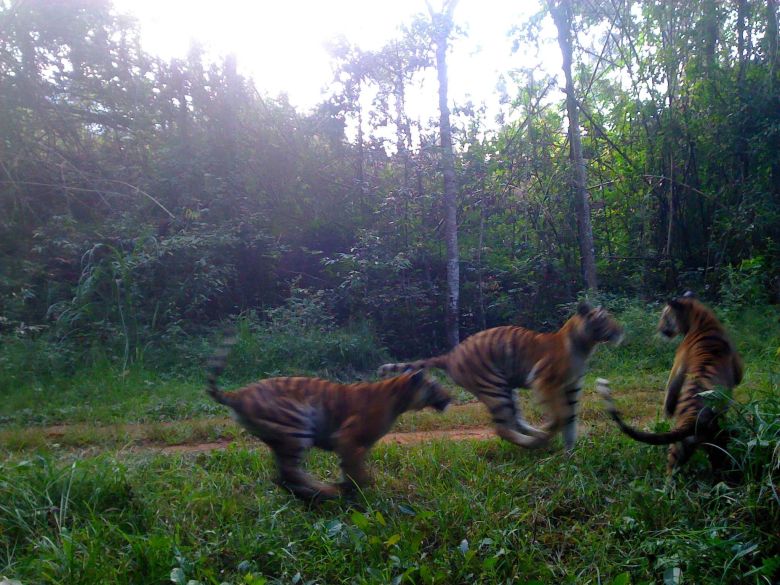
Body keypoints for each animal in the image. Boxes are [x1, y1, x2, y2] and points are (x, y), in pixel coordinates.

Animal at [206, 333, 451, 501]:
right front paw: (357, 491)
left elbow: (351, 469)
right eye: (435, 386)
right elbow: (356, 472)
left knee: (283, 476)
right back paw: (325, 493)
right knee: (289, 474)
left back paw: (314, 495)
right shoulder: (348, 438)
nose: (451, 396)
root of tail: (238, 394)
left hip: (280, 438)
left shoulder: (359, 445)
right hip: (297, 427)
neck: (399, 397)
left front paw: (352, 488)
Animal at [378, 302, 624, 451]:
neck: (585, 346)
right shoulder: (546, 381)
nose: (621, 330)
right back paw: (535, 441)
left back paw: (537, 436)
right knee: (503, 428)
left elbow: (570, 419)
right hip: (494, 387)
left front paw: (570, 452)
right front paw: (556, 432)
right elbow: (560, 415)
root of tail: (450, 356)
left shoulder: (573, 387)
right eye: (604, 319)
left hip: (506, 389)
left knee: (515, 421)